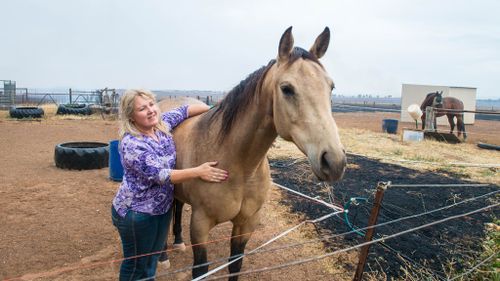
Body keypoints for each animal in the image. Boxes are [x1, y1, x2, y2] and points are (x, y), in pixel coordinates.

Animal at [158, 25, 346, 278]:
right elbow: (201, 269)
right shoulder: (200, 225)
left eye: (330, 87)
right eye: (287, 89)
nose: (334, 161)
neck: (237, 165)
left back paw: (178, 241)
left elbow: (235, 265)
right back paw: (163, 257)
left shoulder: (246, 224)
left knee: (178, 207)